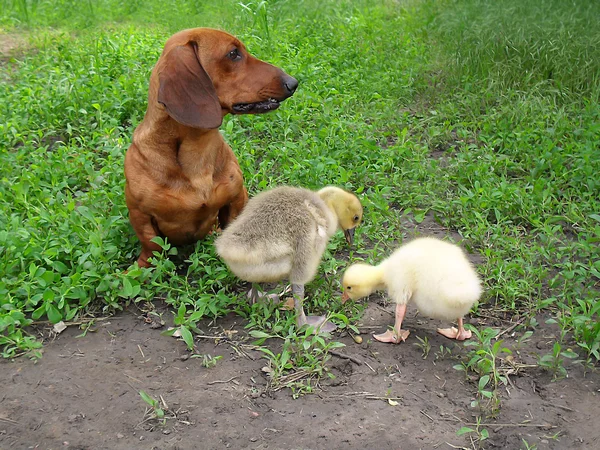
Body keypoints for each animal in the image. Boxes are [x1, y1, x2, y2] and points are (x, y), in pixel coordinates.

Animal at [125, 28, 298, 268]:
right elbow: (151, 245)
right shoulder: (139, 213)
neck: (197, 152)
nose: (293, 83)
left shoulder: (236, 197)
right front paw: (143, 268)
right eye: (233, 53)